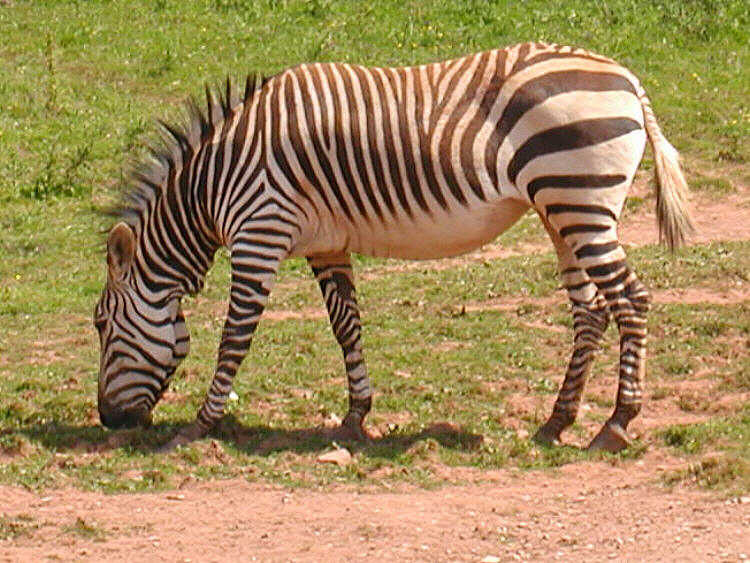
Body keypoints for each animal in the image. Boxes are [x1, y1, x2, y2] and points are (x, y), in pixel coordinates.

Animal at [94, 42, 693, 453]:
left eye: (100, 323)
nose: (107, 420)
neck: (212, 183)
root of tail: (625, 76)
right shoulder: (325, 244)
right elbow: (346, 326)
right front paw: (356, 415)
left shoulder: (258, 236)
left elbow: (233, 340)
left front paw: (200, 426)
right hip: (562, 212)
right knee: (591, 311)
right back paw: (556, 422)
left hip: (580, 203)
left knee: (631, 301)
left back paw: (616, 423)